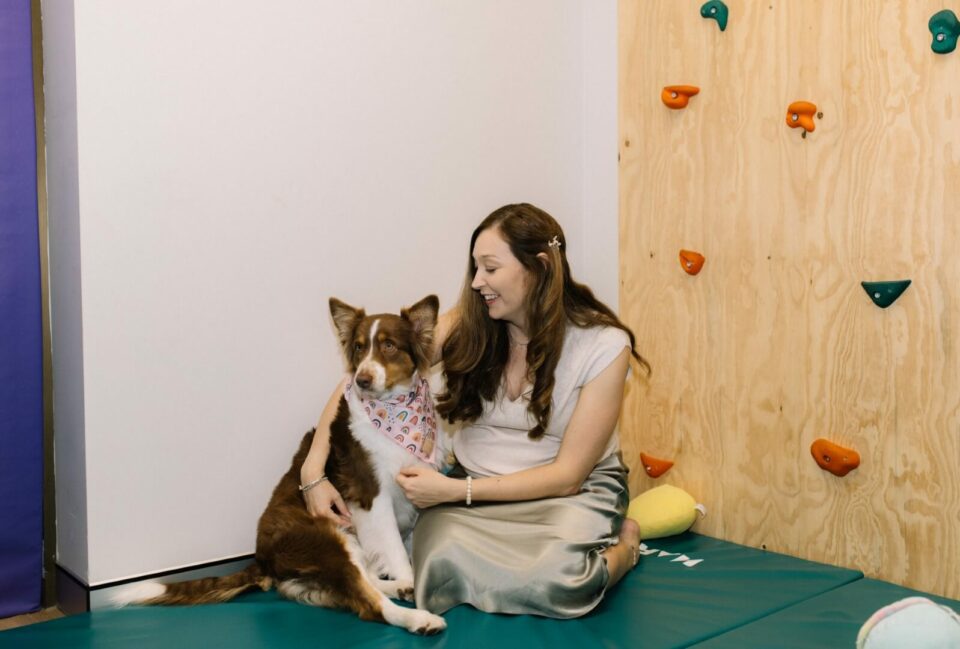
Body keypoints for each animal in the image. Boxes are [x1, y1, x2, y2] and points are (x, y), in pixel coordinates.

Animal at [110, 294, 448, 632]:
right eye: (358, 347)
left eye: (389, 345)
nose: (361, 380)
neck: (393, 412)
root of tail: (261, 558)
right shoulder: (372, 496)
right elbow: (394, 550)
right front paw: (410, 579)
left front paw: (408, 579)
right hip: (326, 537)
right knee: (368, 602)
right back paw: (418, 616)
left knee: (364, 582)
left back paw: (399, 590)